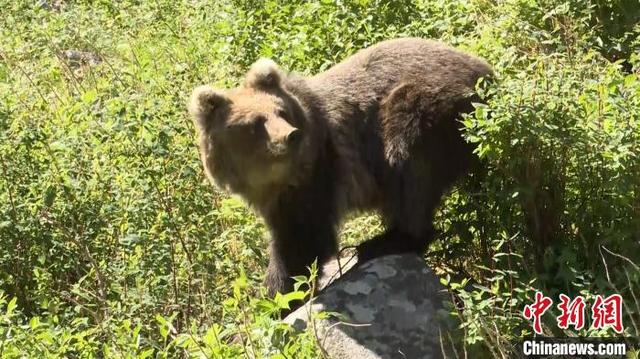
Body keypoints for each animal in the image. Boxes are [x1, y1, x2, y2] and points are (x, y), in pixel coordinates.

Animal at [188, 38, 492, 298]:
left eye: (281, 112)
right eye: (255, 123)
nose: (291, 136)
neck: (272, 182)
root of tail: (485, 70)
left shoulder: (317, 170)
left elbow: (302, 240)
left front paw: (278, 294)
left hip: (428, 110)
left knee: (407, 164)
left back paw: (382, 242)